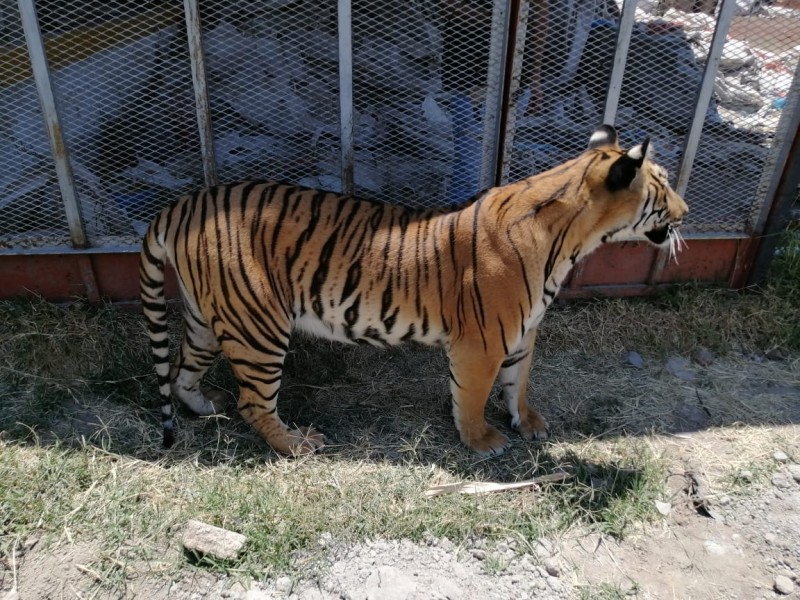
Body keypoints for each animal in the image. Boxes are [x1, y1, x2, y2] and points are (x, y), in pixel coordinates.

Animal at [139, 124, 688, 458]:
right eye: (662, 185)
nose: (685, 213)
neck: (574, 241)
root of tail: (181, 204)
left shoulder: (523, 332)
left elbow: (519, 382)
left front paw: (527, 422)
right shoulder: (481, 343)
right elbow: (472, 395)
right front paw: (482, 441)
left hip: (209, 316)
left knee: (184, 370)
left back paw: (204, 405)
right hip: (258, 326)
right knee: (253, 403)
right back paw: (298, 444)